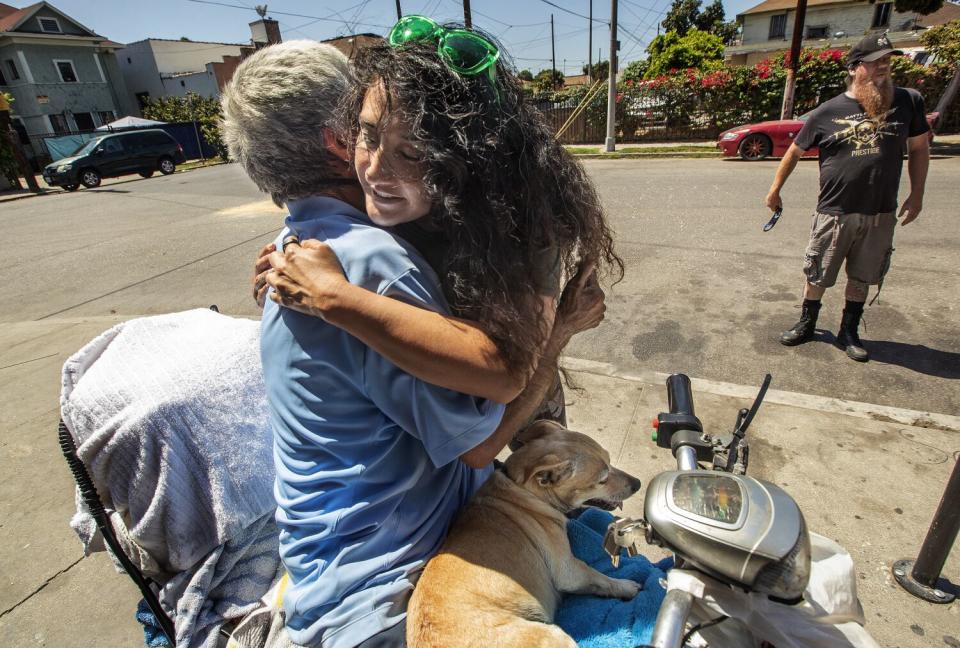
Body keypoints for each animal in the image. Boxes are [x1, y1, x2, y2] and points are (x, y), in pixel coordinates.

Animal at [406, 420, 644, 648]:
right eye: (602, 480)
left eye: (610, 460)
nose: (638, 483)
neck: (523, 488)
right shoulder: (570, 571)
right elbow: (600, 578)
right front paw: (627, 586)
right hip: (554, 635)